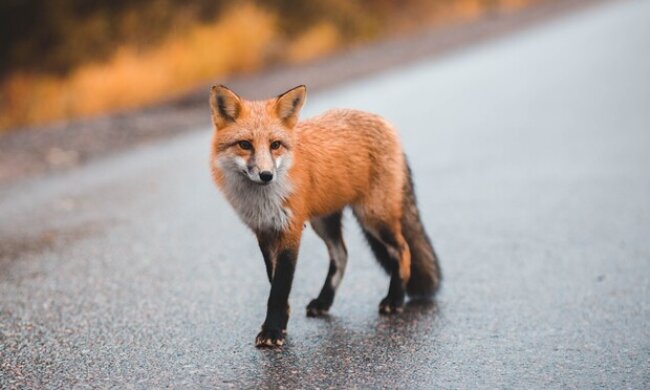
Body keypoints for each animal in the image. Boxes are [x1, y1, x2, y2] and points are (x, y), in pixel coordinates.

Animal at [208, 84, 440, 346]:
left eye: (275, 145)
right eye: (245, 145)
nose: (266, 175)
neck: (263, 200)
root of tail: (384, 122)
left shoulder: (291, 229)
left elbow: (279, 287)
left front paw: (273, 330)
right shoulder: (264, 231)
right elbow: (274, 282)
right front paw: (281, 322)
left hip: (373, 217)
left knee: (402, 250)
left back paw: (395, 299)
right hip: (324, 222)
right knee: (342, 255)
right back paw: (324, 301)